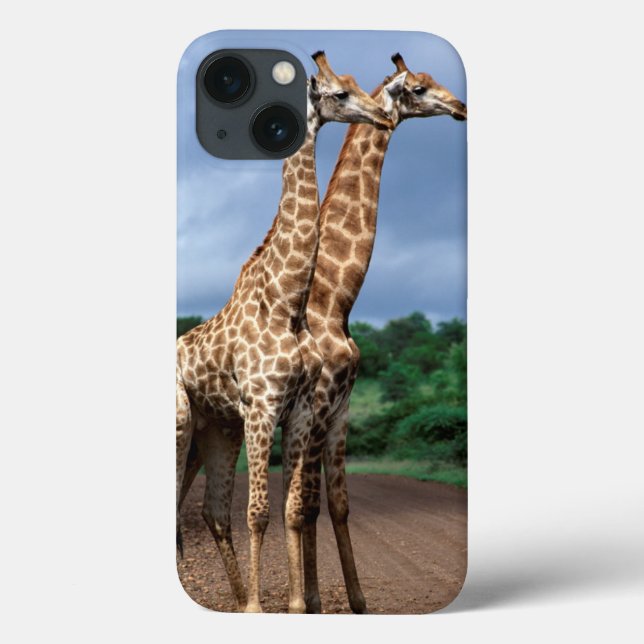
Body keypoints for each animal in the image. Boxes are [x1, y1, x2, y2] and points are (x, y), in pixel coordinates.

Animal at [176, 51, 393, 614]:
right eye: (339, 93)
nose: (381, 116)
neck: (285, 303)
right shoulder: (261, 406)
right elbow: (261, 512)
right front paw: (260, 608)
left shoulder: (297, 410)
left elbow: (294, 507)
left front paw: (297, 605)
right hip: (183, 421)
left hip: (215, 430)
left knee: (207, 510)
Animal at [301, 53, 467, 614]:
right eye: (417, 88)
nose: (461, 107)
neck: (332, 301)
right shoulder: (313, 408)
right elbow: (303, 505)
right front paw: (308, 603)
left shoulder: (341, 408)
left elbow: (336, 504)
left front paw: (356, 602)